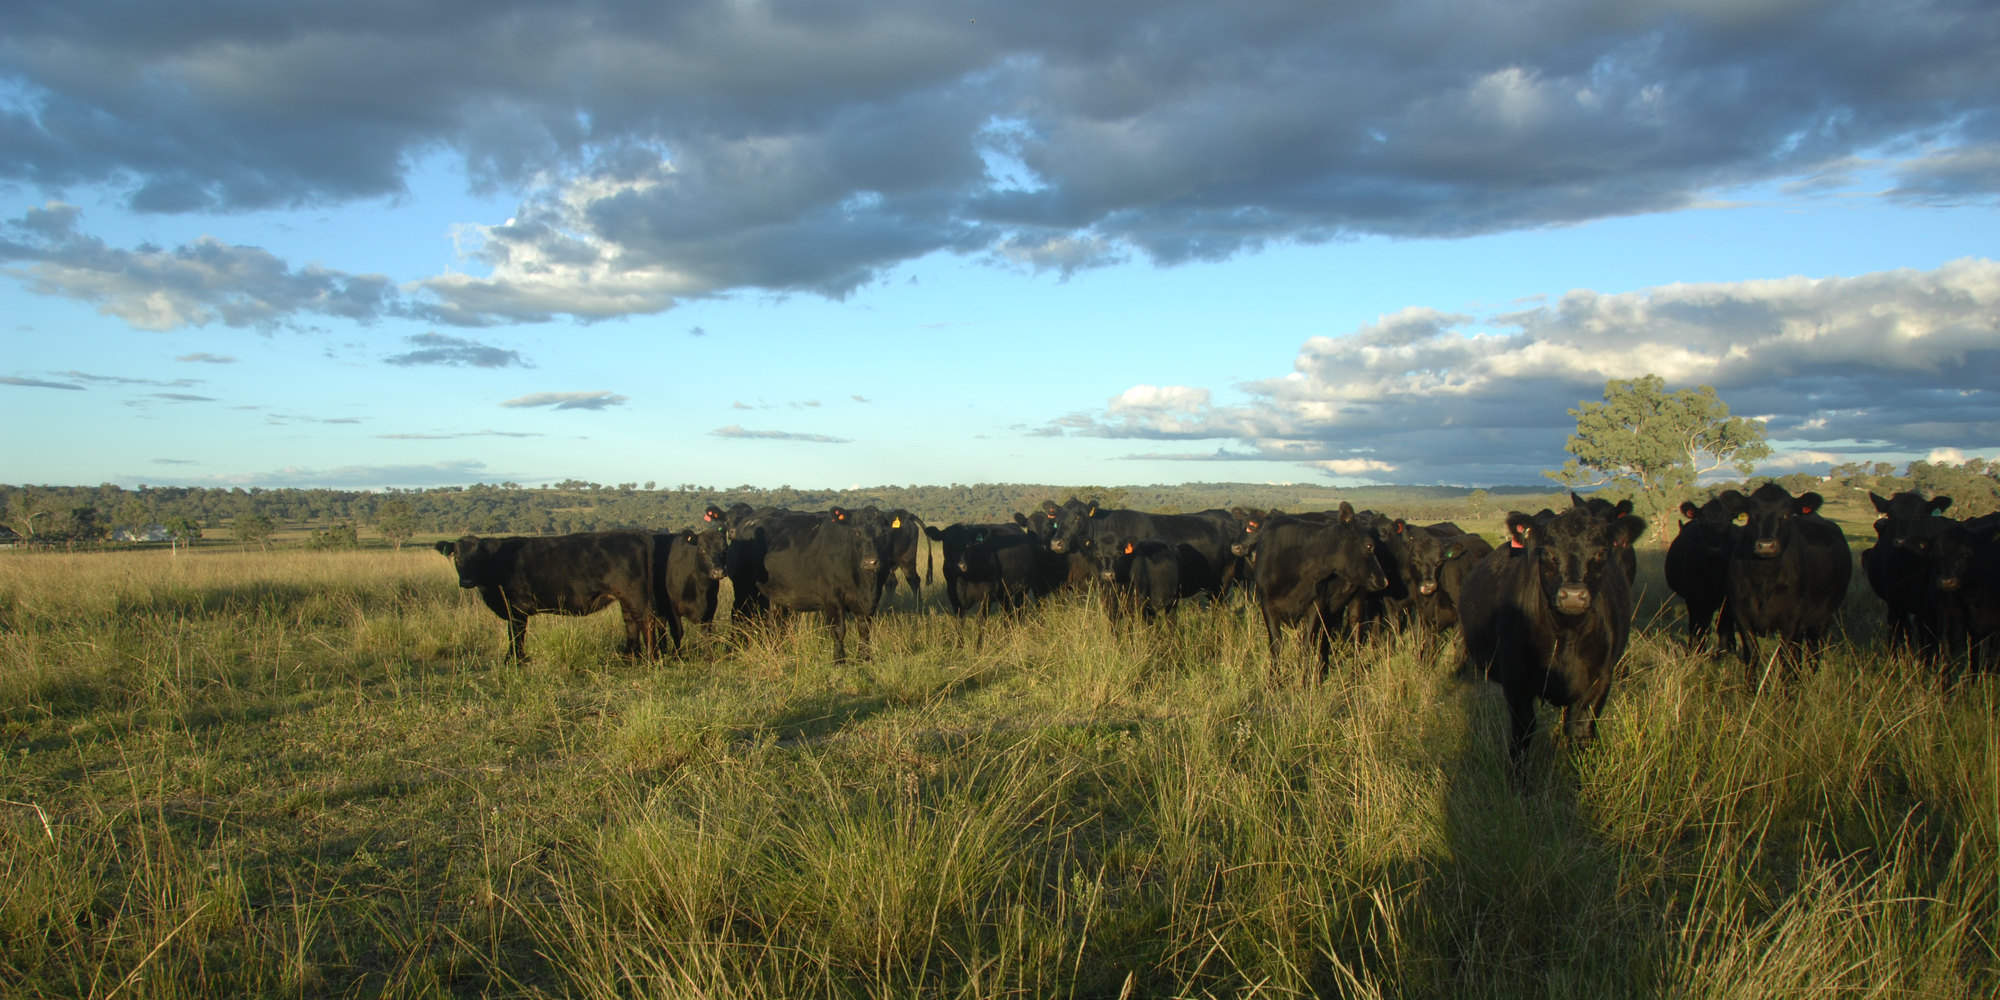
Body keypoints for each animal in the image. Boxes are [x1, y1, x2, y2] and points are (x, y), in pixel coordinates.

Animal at [435, 531, 657, 662]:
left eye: (479, 557)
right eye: (457, 557)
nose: (466, 581)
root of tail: (633, 535)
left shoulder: (516, 609)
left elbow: (516, 635)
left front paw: (514, 660)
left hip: (634, 595)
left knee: (646, 622)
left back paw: (650, 658)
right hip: (623, 598)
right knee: (631, 623)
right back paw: (629, 656)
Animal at [1233, 505, 1387, 679]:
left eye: (1370, 545)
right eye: (1242, 525)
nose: (1383, 580)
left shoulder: (1316, 605)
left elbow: (1307, 644)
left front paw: (1305, 680)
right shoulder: (1267, 605)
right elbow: (1276, 643)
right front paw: (1274, 681)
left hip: (1358, 598)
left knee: (1356, 632)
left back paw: (1356, 673)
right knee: (1327, 636)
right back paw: (1323, 669)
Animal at [1458, 507, 1648, 765]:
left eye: (1601, 552)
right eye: (1547, 553)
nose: (1573, 596)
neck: (1566, 633)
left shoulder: (1601, 679)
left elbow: (1582, 730)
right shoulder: (1515, 679)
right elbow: (1523, 732)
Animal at [1663, 496, 1741, 654]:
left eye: (1728, 521)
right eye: (1704, 522)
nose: (1715, 548)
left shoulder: (1728, 599)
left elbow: (1723, 626)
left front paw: (1725, 652)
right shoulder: (1694, 598)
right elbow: (1698, 626)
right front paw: (1695, 651)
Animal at [1717, 484, 1853, 678]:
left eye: (1787, 513)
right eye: (1752, 513)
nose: (1766, 545)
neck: (1764, 579)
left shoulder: (1793, 617)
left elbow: (1785, 656)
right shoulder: (1740, 612)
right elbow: (1752, 654)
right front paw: (1750, 685)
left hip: (1823, 617)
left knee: (1813, 651)